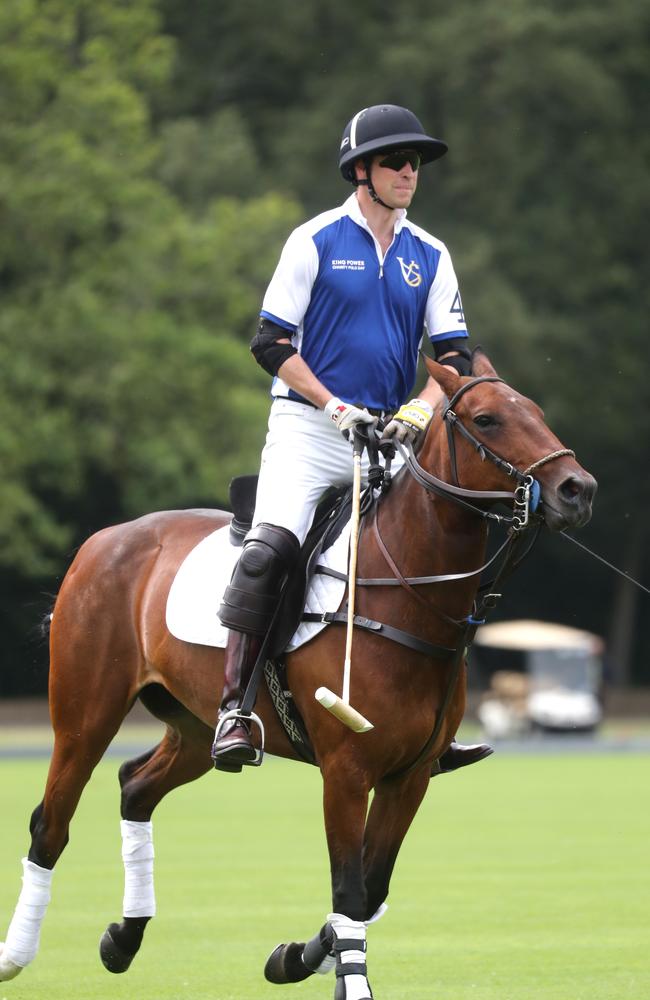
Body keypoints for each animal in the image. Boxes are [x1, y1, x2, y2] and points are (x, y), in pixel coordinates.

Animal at [0, 352, 596, 992]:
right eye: (487, 420)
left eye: (535, 411)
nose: (577, 489)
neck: (405, 589)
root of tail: (101, 541)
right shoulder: (346, 768)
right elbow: (350, 887)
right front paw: (344, 980)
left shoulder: (410, 774)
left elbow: (371, 889)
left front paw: (291, 958)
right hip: (85, 713)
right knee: (50, 822)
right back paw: (16, 954)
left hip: (192, 726)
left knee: (136, 784)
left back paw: (124, 937)